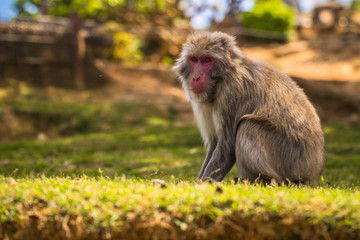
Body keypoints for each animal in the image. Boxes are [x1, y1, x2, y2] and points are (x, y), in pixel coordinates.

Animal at [173, 31, 324, 184]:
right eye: (194, 59)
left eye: (206, 60)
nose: (196, 77)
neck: (221, 80)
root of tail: (313, 174)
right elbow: (215, 142)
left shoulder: (232, 92)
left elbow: (226, 146)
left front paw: (202, 183)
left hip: (290, 159)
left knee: (247, 125)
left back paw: (263, 180)